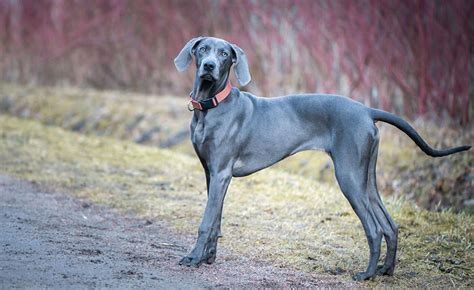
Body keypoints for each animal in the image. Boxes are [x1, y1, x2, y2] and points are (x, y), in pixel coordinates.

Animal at [174, 36, 470, 280]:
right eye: (203, 49)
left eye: (224, 54)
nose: (209, 66)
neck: (211, 107)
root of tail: (367, 110)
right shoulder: (212, 174)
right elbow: (216, 219)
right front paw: (209, 258)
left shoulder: (221, 172)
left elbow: (205, 222)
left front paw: (194, 258)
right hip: (366, 178)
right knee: (390, 225)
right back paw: (386, 270)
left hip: (348, 176)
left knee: (374, 228)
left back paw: (367, 275)